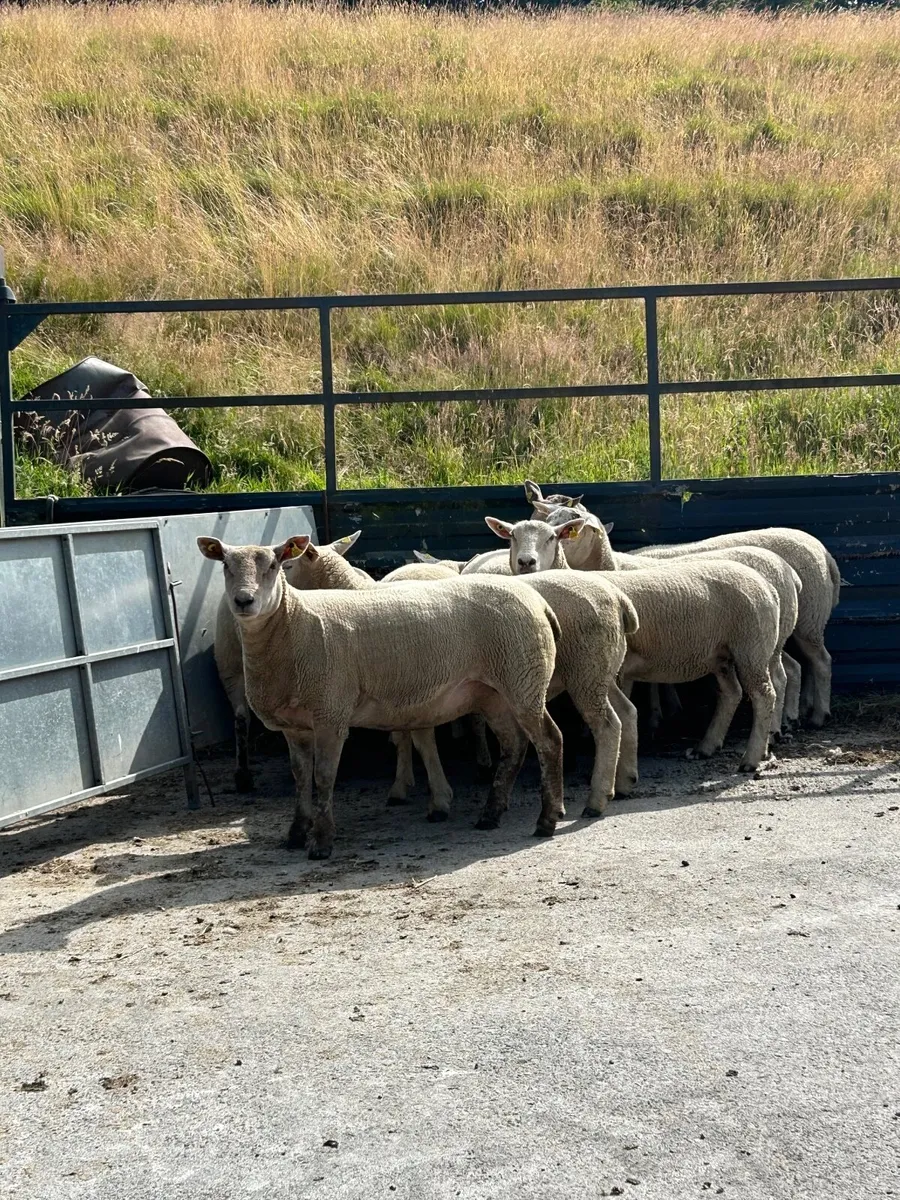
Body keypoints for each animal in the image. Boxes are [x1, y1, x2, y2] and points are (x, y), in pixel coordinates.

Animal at [198, 535, 566, 857]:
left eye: (276, 565)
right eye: (225, 565)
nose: (243, 601)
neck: (293, 626)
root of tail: (539, 602)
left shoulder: (330, 712)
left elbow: (324, 777)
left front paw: (322, 841)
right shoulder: (295, 726)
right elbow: (301, 778)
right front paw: (296, 833)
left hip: (523, 681)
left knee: (549, 741)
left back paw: (546, 819)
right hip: (493, 693)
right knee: (514, 746)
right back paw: (491, 813)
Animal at [486, 516, 782, 773]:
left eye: (551, 537)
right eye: (512, 536)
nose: (526, 562)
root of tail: (767, 584)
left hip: (752, 647)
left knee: (764, 695)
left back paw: (752, 757)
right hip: (721, 654)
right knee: (731, 693)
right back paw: (706, 747)